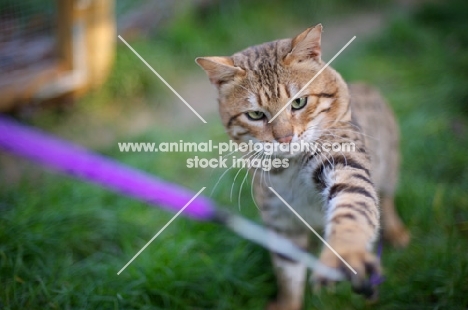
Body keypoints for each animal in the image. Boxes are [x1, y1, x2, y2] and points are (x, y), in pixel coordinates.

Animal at [196, 24, 408, 310]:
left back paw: (395, 231)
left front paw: (345, 252)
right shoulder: (281, 221)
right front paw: (288, 303)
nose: (285, 138)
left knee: (386, 199)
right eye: (255, 115)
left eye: (299, 102)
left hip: (389, 166)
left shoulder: (342, 163)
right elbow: (287, 273)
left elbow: (353, 207)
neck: (289, 169)